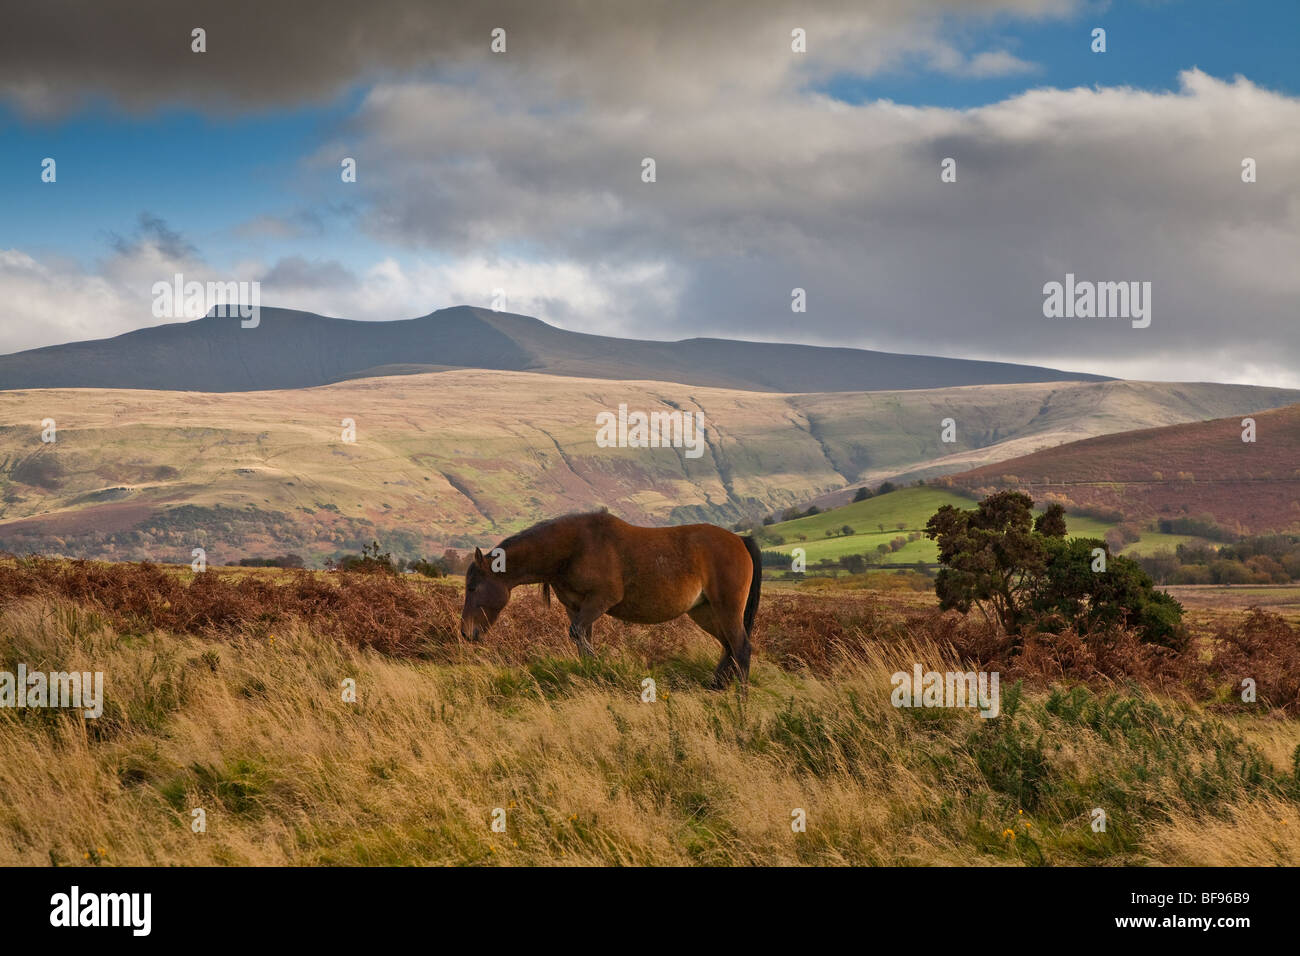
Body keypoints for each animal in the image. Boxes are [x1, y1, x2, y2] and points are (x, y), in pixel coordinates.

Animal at [460, 515, 759, 686]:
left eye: (473, 587)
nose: (465, 632)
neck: (574, 548)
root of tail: (740, 540)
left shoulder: (600, 600)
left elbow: (579, 636)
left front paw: (600, 670)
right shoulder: (576, 607)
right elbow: (582, 639)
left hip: (726, 609)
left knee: (741, 647)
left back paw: (740, 701)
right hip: (705, 612)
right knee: (729, 647)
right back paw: (717, 686)